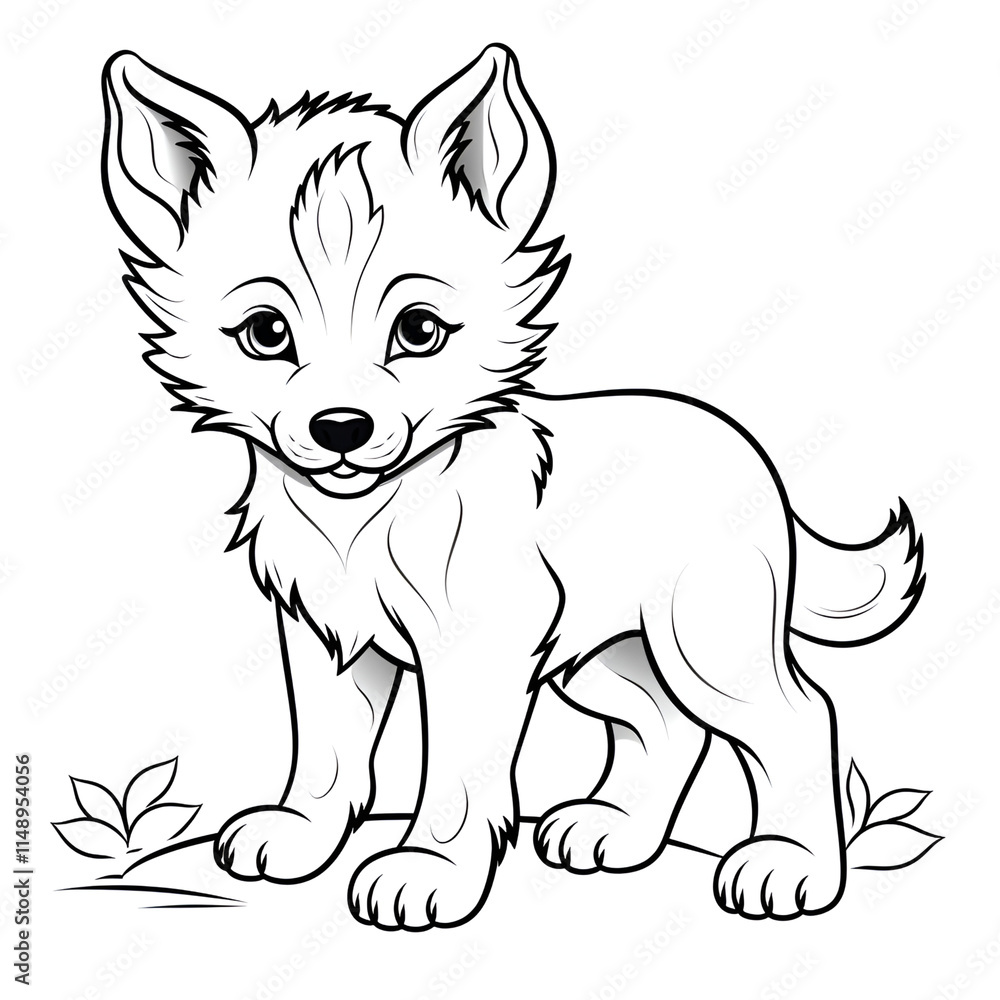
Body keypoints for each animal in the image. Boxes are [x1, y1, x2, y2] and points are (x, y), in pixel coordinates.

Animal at [100, 43, 924, 930]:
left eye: (418, 330)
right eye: (265, 333)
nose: (341, 429)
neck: (367, 517)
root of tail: (747, 448)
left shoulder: (479, 643)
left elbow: (455, 772)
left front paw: (427, 870)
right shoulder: (328, 636)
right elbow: (326, 748)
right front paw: (300, 833)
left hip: (701, 642)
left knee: (799, 716)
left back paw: (788, 865)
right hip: (601, 654)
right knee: (664, 728)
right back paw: (616, 832)